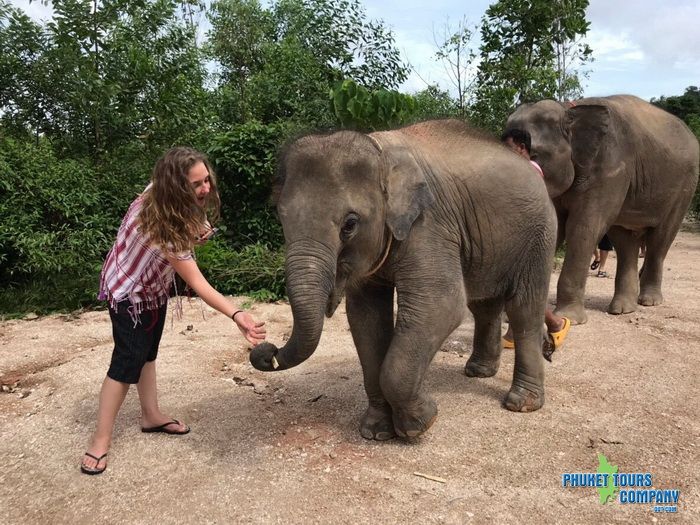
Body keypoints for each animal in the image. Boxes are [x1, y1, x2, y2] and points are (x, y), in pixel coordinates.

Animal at [249, 118, 556, 438]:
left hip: (540, 235)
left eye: (350, 224)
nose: (267, 350)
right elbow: (366, 318)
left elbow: (442, 306)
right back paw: (478, 372)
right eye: (281, 218)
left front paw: (420, 423)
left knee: (523, 309)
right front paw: (376, 431)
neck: (380, 152)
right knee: (484, 305)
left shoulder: (430, 225)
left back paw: (521, 403)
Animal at [506, 95, 696, 324]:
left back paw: (648, 302)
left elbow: (583, 228)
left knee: (660, 239)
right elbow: (555, 227)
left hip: (684, 188)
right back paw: (622, 309)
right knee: (624, 241)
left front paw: (570, 319)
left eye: (533, 154)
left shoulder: (610, 168)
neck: (569, 108)